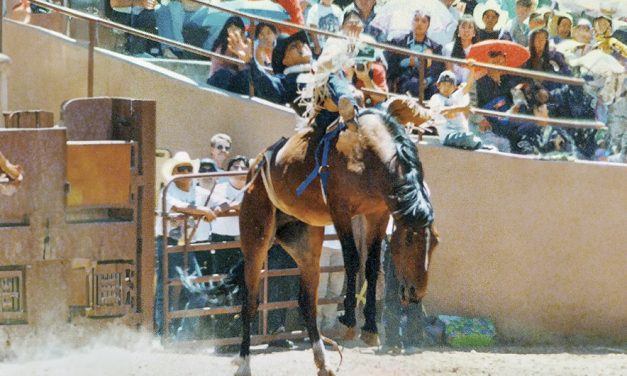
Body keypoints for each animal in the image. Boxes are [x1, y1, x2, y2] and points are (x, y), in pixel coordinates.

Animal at [234, 111, 436, 376]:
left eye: (435, 243)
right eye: (410, 238)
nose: (416, 292)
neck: (366, 153)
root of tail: (256, 165)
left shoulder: (378, 213)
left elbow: (372, 266)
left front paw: (370, 328)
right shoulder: (340, 210)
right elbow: (352, 260)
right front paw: (350, 320)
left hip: (306, 246)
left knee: (307, 302)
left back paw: (324, 362)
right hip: (255, 237)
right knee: (250, 302)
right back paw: (243, 364)